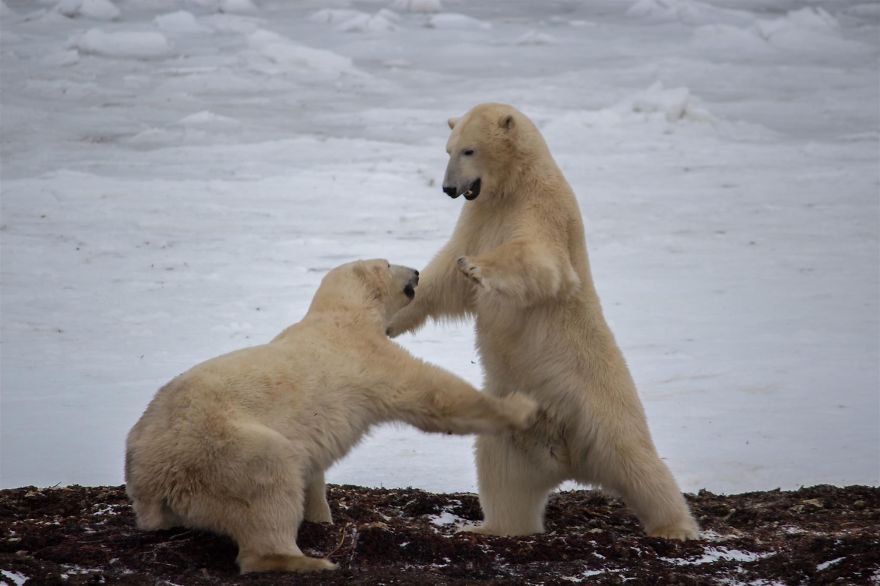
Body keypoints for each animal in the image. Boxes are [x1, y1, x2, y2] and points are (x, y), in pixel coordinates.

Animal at [125, 259, 539, 573]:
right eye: (388, 262)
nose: (417, 272)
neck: (341, 314)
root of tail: (150, 476)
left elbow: (313, 469)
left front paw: (321, 515)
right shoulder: (367, 355)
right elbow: (433, 394)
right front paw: (522, 408)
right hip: (222, 448)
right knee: (268, 477)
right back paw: (306, 560)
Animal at [387, 103, 700, 540]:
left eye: (469, 150)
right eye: (447, 149)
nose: (449, 188)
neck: (514, 184)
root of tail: (569, 456)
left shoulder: (542, 208)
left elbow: (542, 263)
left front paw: (477, 267)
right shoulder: (480, 216)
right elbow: (444, 279)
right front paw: (390, 318)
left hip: (600, 403)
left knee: (640, 463)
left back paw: (677, 527)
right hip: (515, 425)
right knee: (501, 472)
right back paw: (491, 527)